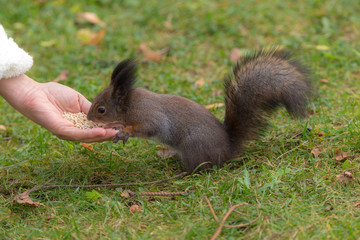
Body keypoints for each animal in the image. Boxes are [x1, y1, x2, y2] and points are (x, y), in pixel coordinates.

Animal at [86, 48, 310, 172]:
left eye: (101, 109)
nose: (88, 117)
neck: (129, 104)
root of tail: (228, 149)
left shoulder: (149, 115)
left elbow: (149, 127)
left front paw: (125, 131)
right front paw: (119, 127)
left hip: (193, 146)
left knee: (200, 169)